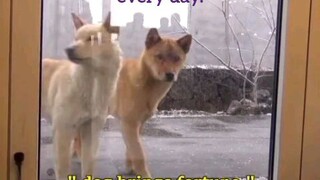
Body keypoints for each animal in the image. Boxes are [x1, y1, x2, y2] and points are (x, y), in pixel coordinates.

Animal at [74, 28, 191, 177]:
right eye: (159, 56)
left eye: (177, 58)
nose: (170, 75)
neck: (144, 83)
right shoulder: (129, 123)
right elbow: (138, 152)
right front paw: (145, 175)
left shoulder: (137, 124)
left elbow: (131, 150)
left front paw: (131, 169)